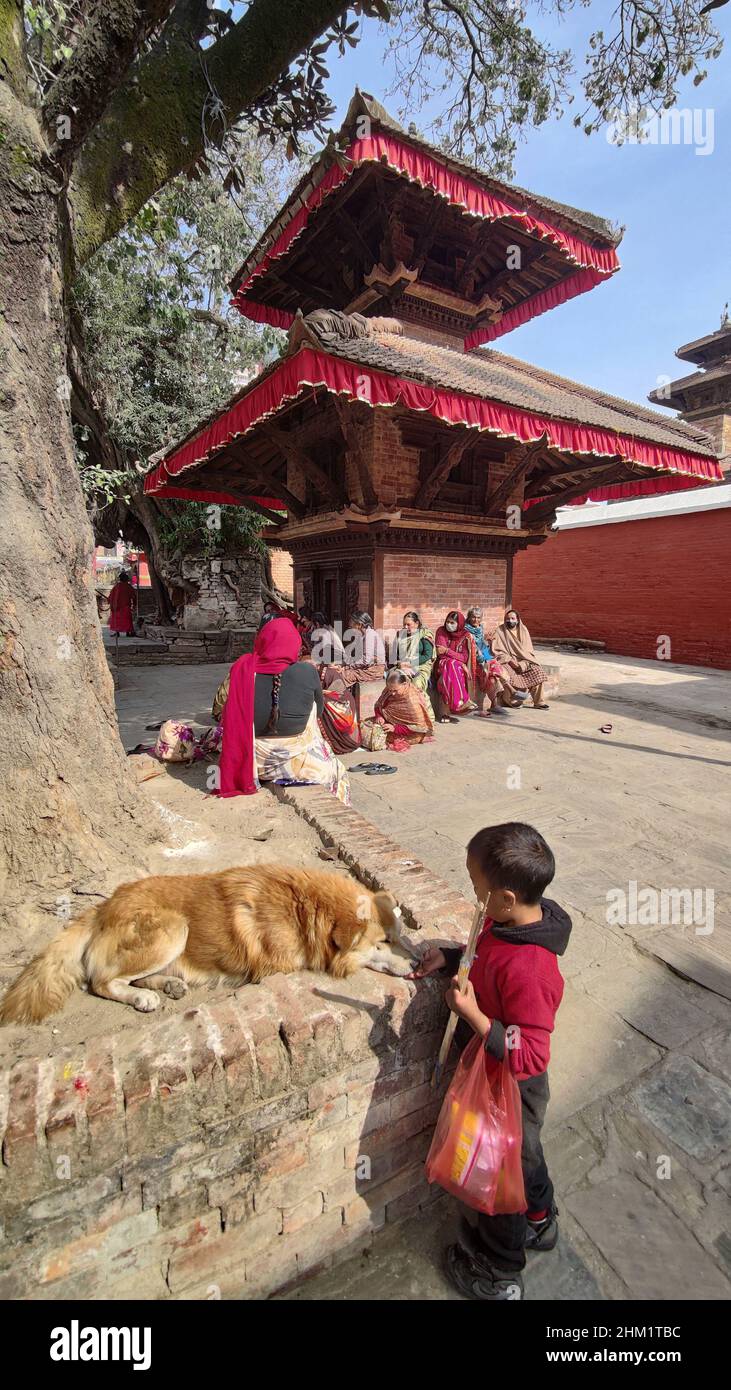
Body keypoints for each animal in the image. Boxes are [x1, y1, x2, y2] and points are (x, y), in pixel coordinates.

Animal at [0, 861, 416, 1028]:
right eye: (384, 941)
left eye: (400, 935)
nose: (417, 963)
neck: (304, 908)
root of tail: (103, 906)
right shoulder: (278, 966)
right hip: (173, 927)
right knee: (100, 981)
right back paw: (144, 997)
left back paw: (167, 986)